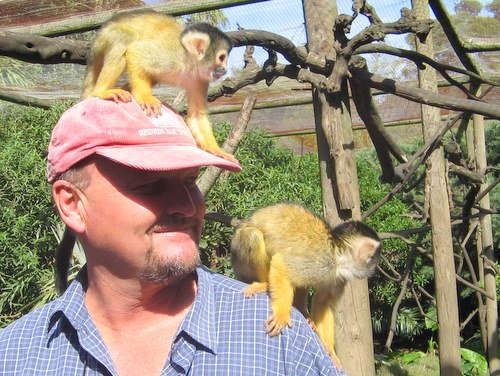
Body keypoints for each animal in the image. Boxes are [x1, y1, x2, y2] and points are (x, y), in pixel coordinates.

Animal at [82, 10, 236, 162]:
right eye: (222, 58)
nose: (225, 69)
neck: (189, 63)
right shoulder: (171, 57)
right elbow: (135, 51)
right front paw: (145, 97)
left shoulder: (200, 79)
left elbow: (196, 115)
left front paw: (217, 150)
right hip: (104, 39)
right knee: (125, 38)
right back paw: (101, 90)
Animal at [230, 204, 382, 366]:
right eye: (373, 258)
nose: (373, 269)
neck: (338, 256)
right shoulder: (323, 262)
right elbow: (282, 263)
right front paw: (281, 315)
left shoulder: (339, 278)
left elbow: (323, 302)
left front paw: (330, 350)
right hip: (240, 261)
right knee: (252, 235)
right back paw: (265, 283)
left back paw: (304, 313)